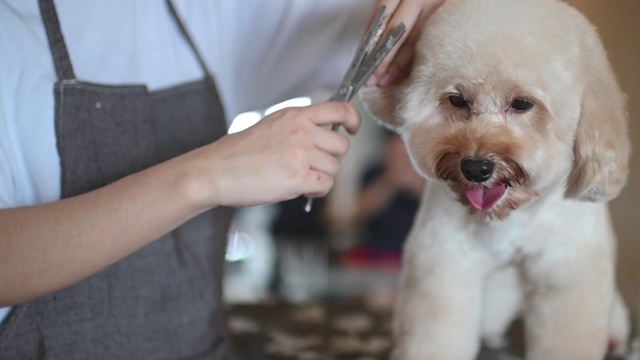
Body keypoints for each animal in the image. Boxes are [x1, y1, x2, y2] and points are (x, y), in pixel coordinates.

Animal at [362, 0, 632, 358]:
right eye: (458, 99)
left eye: (522, 104)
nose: (476, 167)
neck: (508, 217)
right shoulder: (444, 262)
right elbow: (436, 332)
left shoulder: (567, 270)